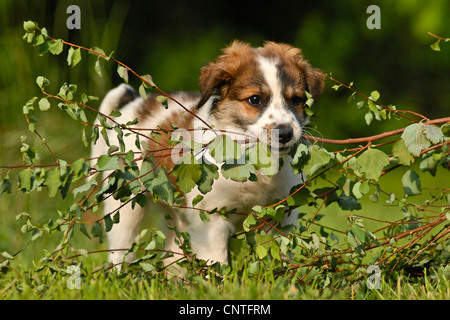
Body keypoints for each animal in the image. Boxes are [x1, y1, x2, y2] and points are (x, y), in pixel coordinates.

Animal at [92, 40, 324, 270]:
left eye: (296, 100)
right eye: (255, 99)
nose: (285, 133)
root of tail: (135, 101)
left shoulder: (280, 212)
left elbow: (279, 252)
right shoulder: (211, 218)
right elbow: (217, 261)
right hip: (125, 205)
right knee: (121, 250)